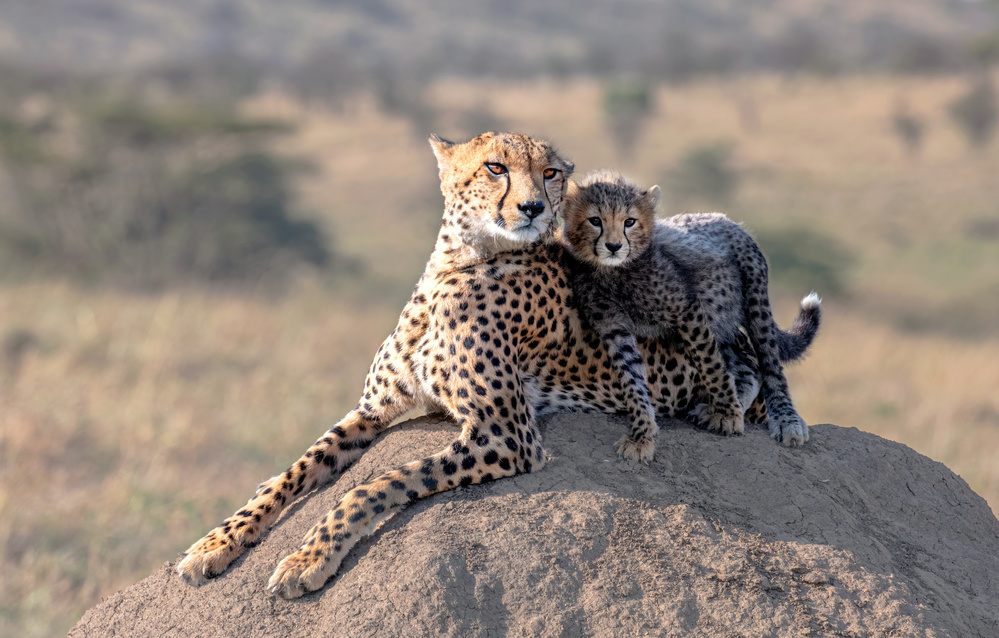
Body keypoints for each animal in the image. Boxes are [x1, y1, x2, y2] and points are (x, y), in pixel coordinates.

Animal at [180, 131, 784, 600]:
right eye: (496, 167)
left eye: (550, 173)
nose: (534, 208)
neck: (458, 263)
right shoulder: (372, 411)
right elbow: (294, 471)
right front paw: (217, 542)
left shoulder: (507, 434)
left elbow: (377, 483)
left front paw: (308, 559)